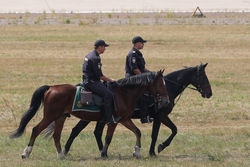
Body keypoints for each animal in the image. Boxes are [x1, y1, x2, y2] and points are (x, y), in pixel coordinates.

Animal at [10, 70, 169, 159]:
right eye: (161, 84)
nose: (166, 101)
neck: (124, 93)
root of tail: (51, 88)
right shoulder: (114, 121)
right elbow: (108, 137)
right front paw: (104, 153)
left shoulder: (124, 119)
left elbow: (137, 132)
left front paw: (136, 151)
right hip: (50, 116)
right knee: (36, 129)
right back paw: (26, 153)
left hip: (60, 117)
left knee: (56, 135)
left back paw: (61, 155)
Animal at [58, 63, 211, 157]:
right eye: (203, 76)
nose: (209, 93)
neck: (169, 88)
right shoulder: (160, 116)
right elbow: (161, 133)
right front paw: (156, 149)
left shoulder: (160, 117)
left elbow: (169, 131)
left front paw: (156, 148)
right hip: (89, 118)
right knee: (77, 131)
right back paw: (67, 151)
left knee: (95, 132)